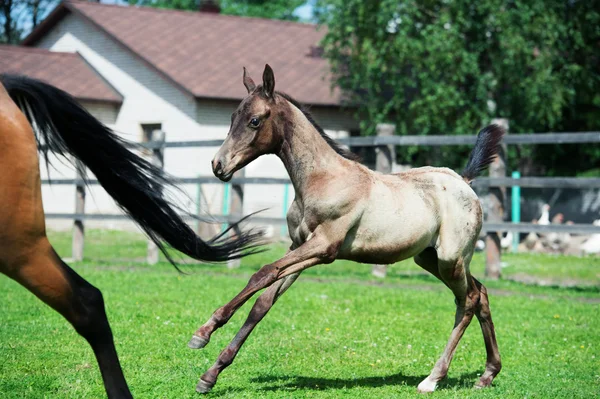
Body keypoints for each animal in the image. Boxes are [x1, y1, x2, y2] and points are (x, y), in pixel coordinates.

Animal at [186, 64, 502, 396]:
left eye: (255, 120)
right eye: (233, 117)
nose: (218, 165)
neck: (323, 179)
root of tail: (464, 182)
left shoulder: (324, 247)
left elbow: (263, 272)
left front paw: (203, 332)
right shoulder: (299, 246)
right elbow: (263, 302)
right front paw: (211, 374)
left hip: (450, 260)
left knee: (467, 301)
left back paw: (433, 378)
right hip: (431, 259)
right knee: (480, 293)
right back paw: (487, 374)